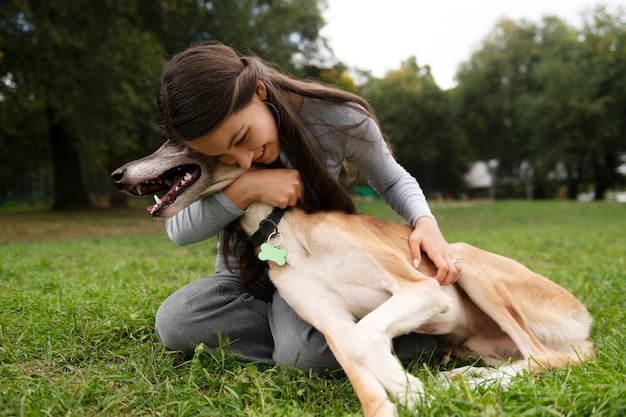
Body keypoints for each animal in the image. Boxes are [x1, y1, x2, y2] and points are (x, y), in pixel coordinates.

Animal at [109, 141, 592, 416]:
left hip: (464, 260)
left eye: (173, 141)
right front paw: (408, 395)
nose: (116, 174)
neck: (280, 227)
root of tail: (581, 316)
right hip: (477, 342)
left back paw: (463, 383)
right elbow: (362, 369)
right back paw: (462, 379)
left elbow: (366, 335)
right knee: (532, 358)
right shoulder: (330, 321)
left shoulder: (422, 289)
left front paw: (413, 390)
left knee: (550, 358)